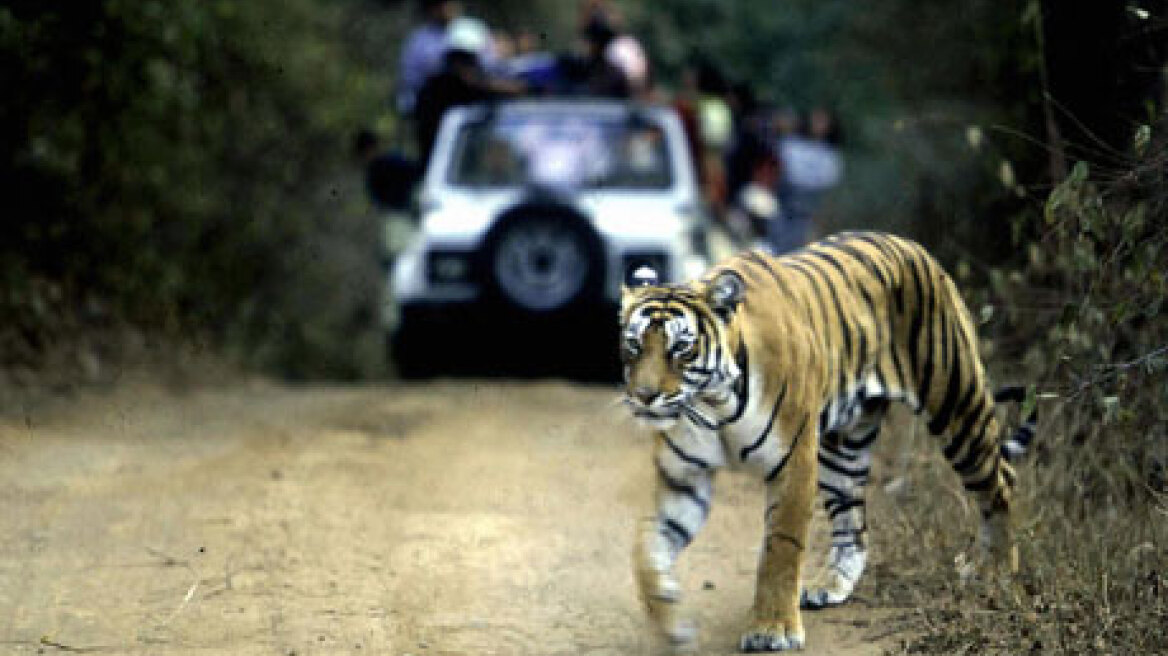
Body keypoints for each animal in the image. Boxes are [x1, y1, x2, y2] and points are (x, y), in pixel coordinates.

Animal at [616, 231, 1037, 648]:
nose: (644, 396)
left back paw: (997, 571)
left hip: (957, 405)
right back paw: (830, 585)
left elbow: (781, 548)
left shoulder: (793, 463)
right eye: (634, 345)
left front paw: (772, 629)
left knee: (1002, 481)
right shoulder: (683, 479)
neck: (714, 403)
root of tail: (913, 246)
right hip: (842, 448)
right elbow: (647, 547)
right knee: (853, 524)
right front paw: (670, 620)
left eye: (681, 348)